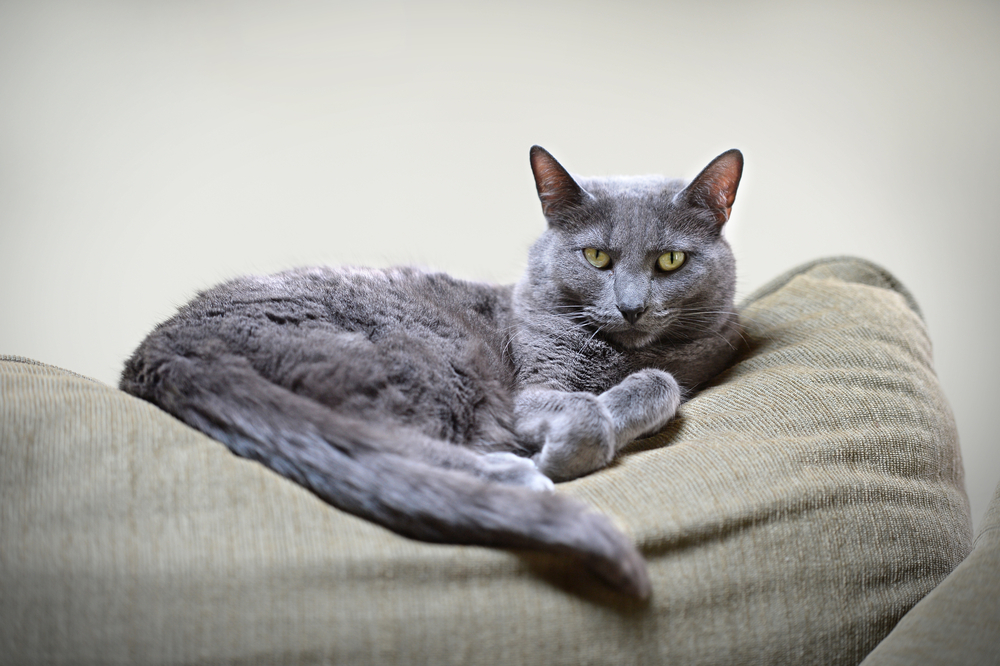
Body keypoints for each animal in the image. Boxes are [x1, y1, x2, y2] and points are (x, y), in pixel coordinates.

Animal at [119, 145, 744, 596]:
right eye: (596, 257)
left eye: (671, 260)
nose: (632, 306)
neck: (624, 352)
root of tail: (159, 351)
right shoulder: (530, 388)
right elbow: (585, 408)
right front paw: (575, 442)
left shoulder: (707, 351)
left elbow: (665, 381)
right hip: (424, 358)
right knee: (377, 443)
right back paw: (517, 475)